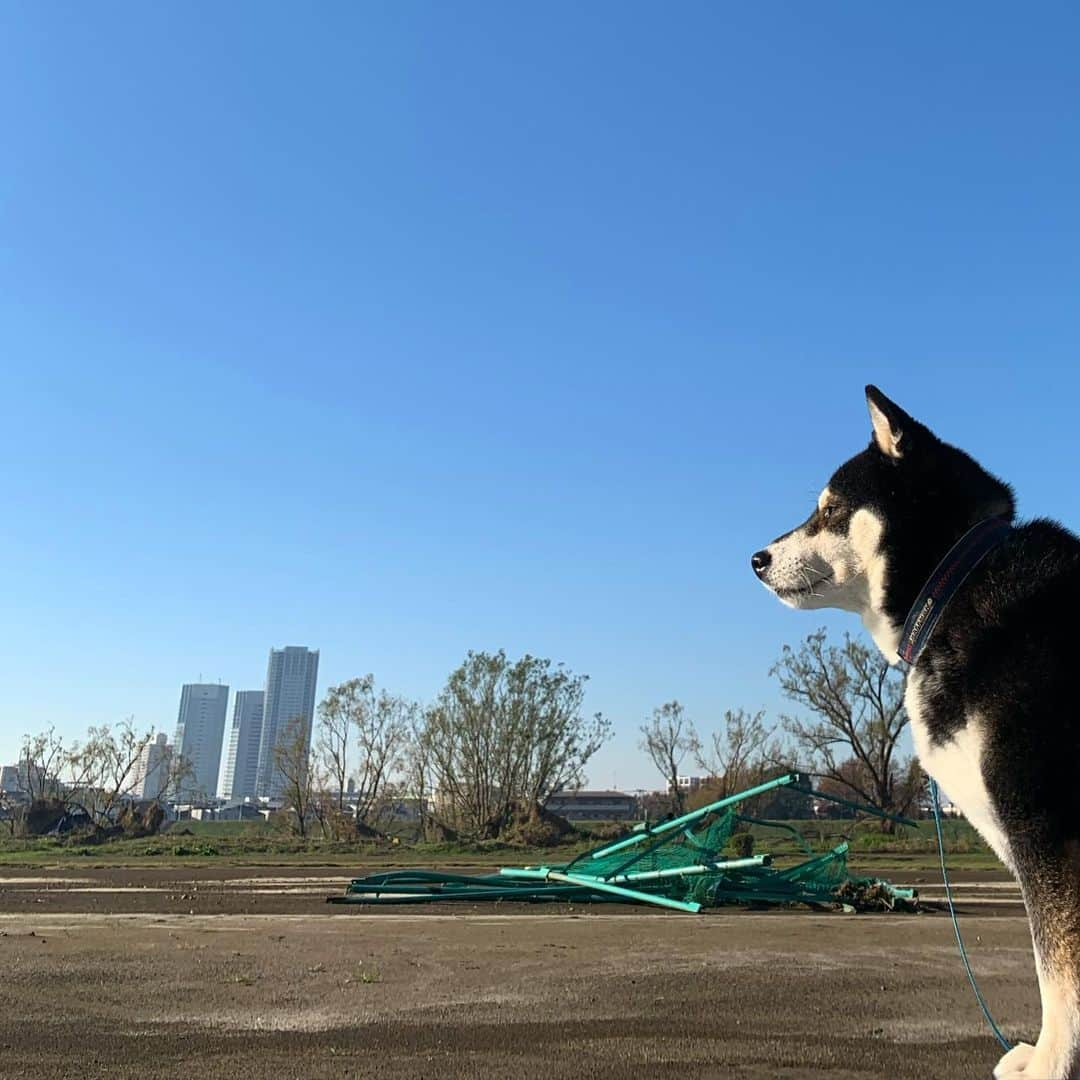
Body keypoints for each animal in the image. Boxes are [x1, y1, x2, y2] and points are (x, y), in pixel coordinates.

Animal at [756, 384, 1080, 1075]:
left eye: (829, 510)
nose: (756, 559)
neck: (957, 585)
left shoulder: (1045, 828)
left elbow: (1056, 967)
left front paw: (1052, 1063)